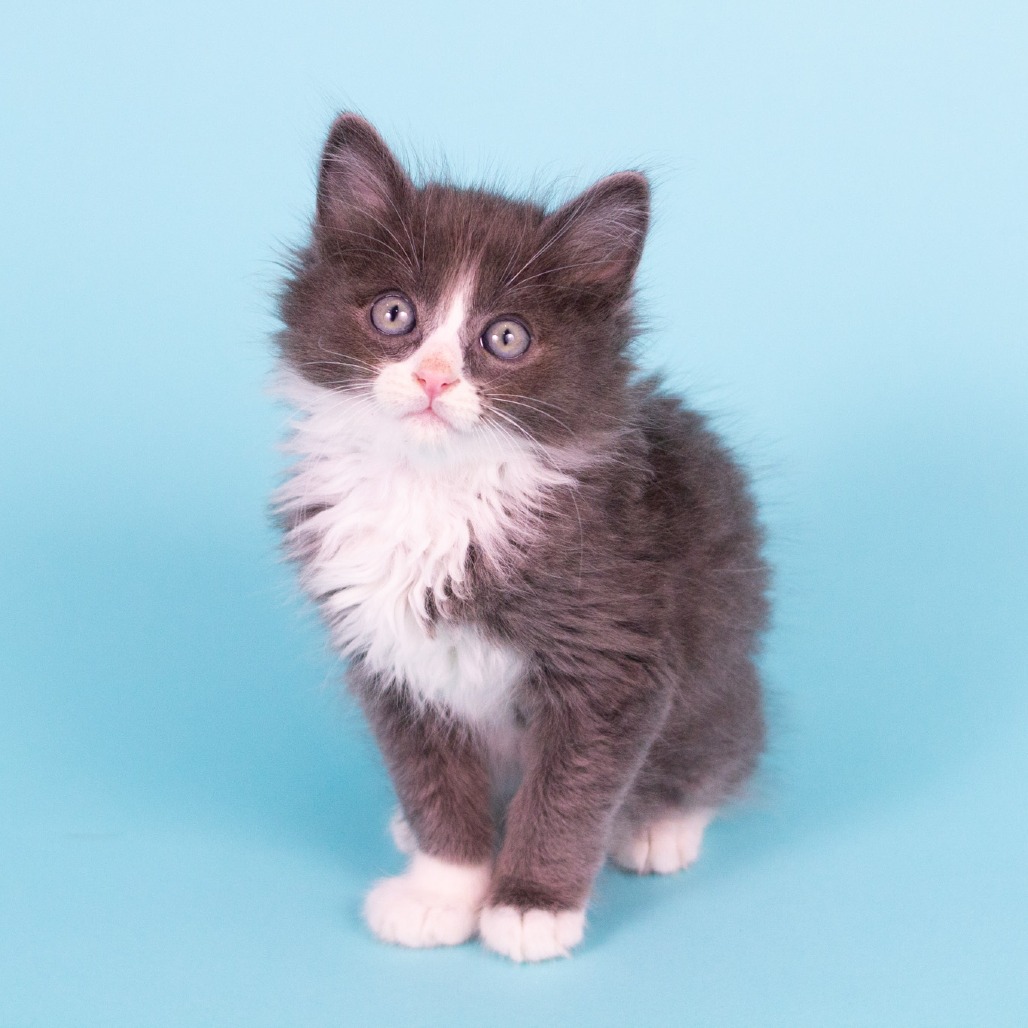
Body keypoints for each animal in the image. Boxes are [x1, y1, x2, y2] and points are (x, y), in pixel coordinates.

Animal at [273, 114, 769, 963]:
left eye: (505, 337)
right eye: (395, 315)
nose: (435, 379)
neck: (434, 490)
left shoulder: (612, 661)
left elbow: (567, 794)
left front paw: (532, 905)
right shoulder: (392, 662)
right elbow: (432, 783)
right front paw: (444, 889)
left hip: (719, 680)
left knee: (723, 749)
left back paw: (660, 825)